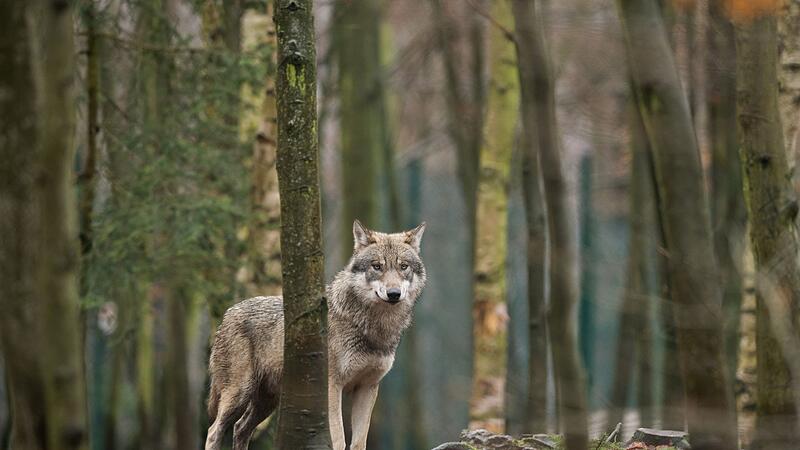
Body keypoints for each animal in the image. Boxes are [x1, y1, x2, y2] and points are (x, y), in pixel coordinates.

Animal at [205, 220, 427, 450]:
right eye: (377, 266)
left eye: (403, 267)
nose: (394, 294)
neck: (372, 327)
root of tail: (228, 313)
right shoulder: (332, 386)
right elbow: (339, 440)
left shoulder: (367, 388)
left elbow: (358, 443)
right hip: (240, 394)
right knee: (214, 430)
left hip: (267, 401)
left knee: (240, 428)